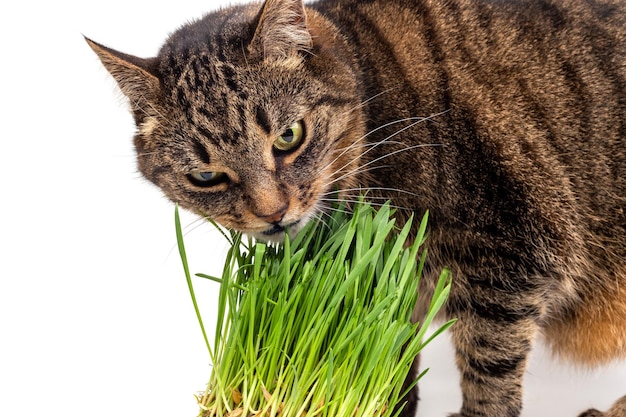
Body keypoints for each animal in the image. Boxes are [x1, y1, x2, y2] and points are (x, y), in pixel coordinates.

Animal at [84, 0, 624, 414]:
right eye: (205, 177)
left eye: (288, 136)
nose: (272, 213)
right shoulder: (396, 282)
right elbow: (393, 356)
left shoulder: (511, 256)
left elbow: (489, 372)